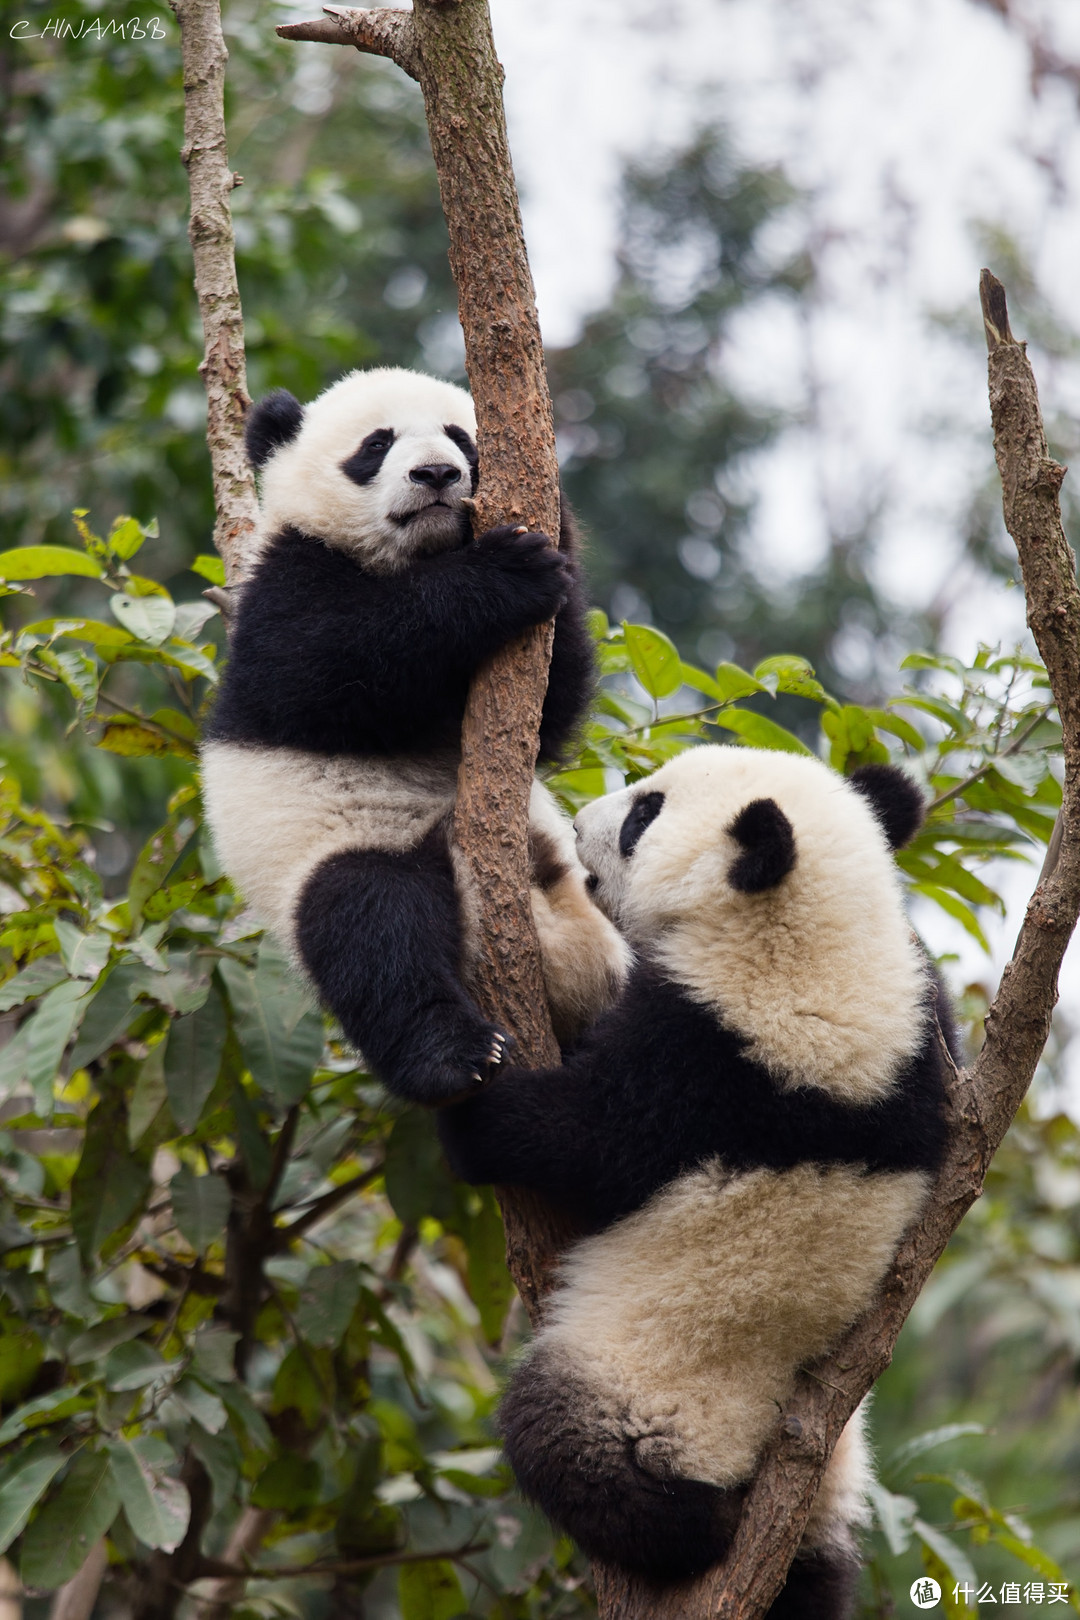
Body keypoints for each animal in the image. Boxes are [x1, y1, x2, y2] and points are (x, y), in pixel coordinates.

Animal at [200, 367, 634, 1101]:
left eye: (462, 438)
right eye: (377, 444)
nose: (436, 473)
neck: (406, 558)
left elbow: (550, 714)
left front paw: (555, 534)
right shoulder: (283, 583)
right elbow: (328, 667)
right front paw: (503, 574)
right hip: (340, 850)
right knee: (372, 925)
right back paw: (454, 1056)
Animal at [440, 745, 952, 1607]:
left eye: (646, 815)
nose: (578, 823)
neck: (827, 936)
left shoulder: (721, 1049)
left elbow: (586, 1138)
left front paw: (477, 1114)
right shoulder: (930, 1041)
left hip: (647, 1389)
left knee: (563, 1445)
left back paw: (684, 1529)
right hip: (833, 1485)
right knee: (815, 1578)